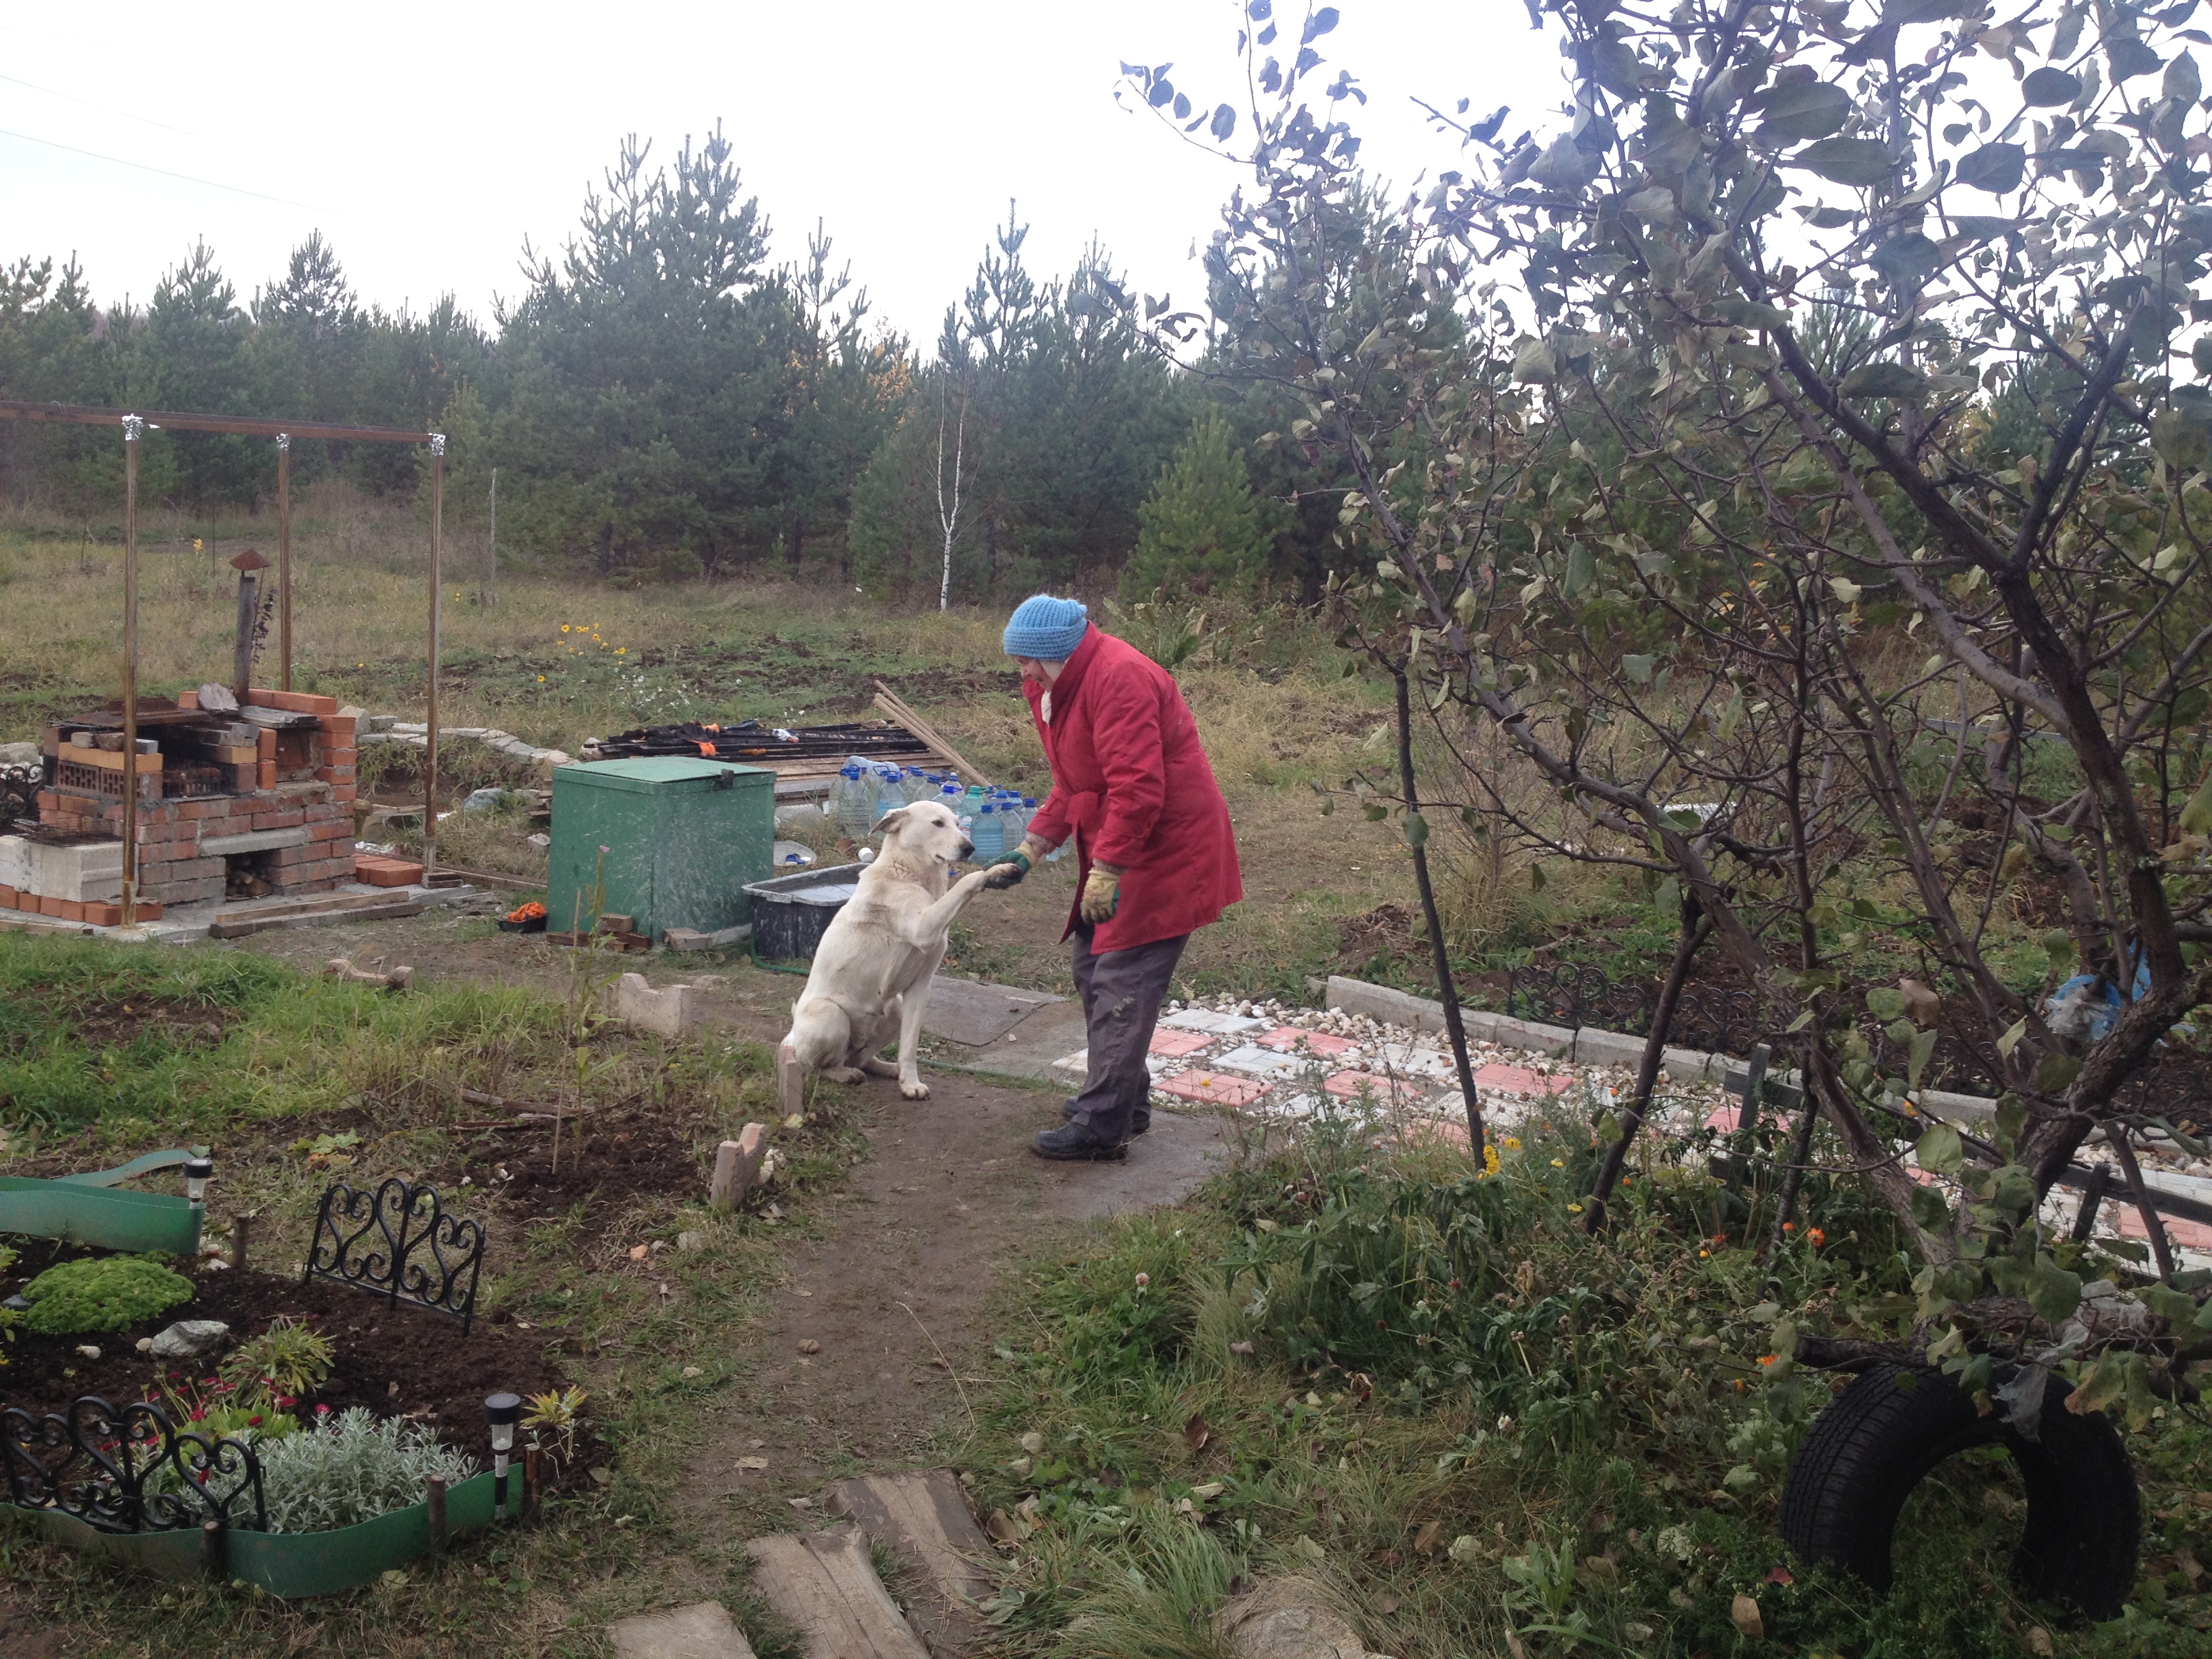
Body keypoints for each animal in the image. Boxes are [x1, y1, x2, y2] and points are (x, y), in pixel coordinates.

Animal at [774, 800, 991, 1106]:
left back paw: (886, 1068)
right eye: (937, 823)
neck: (910, 874)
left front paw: (910, 1084)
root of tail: (790, 1038)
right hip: (829, 1015)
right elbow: (966, 883)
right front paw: (995, 871)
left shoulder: (920, 986)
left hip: (894, 1009)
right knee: (816, 1068)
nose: (970, 848)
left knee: (860, 1059)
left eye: (959, 825)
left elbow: (909, 1046)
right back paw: (844, 1075)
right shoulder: (923, 927)